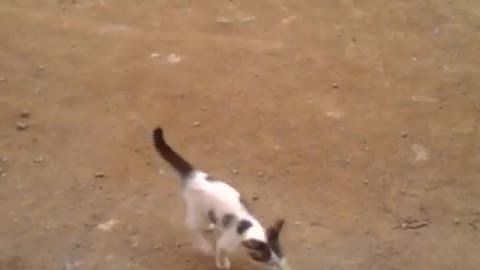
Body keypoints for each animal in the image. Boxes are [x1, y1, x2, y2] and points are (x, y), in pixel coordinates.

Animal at [153, 127, 288, 268]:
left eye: (279, 253)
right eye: (266, 258)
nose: (279, 264)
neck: (246, 227)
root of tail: (194, 175)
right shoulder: (224, 242)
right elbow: (220, 252)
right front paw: (222, 264)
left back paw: (210, 225)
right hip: (196, 209)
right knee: (191, 225)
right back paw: (204, 245)